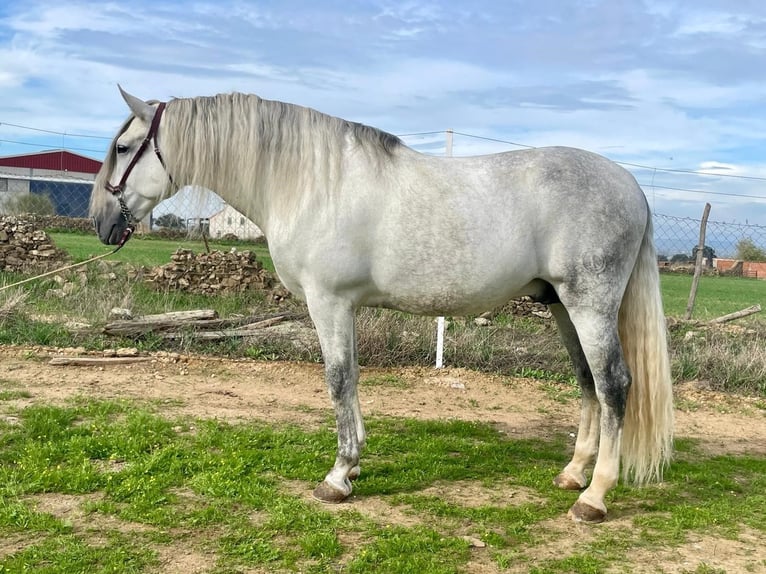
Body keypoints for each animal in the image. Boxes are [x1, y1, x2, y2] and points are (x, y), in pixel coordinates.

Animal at [90, 88, 676, 524]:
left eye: (123, 147)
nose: (100, 221)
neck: (308, 182)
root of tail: (631, 187)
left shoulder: (329, 302)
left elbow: (338, 379)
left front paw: (337, 476)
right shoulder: (342, 306)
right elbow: (348, 379)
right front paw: (350, 468)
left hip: (590, 304)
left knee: (614, 384)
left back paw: (593, 497)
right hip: (560, 305)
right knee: (587, 382)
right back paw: (573, 474)